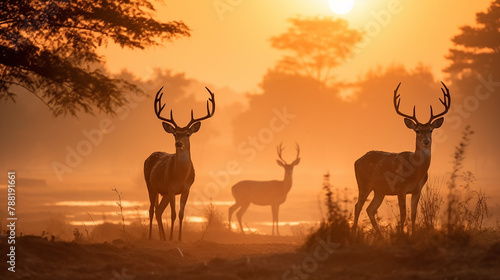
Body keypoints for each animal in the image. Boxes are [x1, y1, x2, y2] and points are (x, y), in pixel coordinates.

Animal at [144, 86, 216, 241]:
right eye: (175, 134)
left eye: (187, 134)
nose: (178, 143)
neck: (181, 175)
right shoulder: (171, 189)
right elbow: (173, 214)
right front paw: (172, 238)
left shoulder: (186, 189)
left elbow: (181, 214)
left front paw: (179, 238)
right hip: (150, 186)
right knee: (151, 210)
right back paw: (151, 237)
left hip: (163, 192)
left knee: (158, 211)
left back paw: (163, 238)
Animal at [352, 81, 454, 236]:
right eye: (417, 130)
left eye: (431, 130)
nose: (426, 141)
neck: (416, 172)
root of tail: (357, 161)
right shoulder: (400, 188)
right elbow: (403, 214)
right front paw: (401, 235)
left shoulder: (417, 190)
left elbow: (413, 215)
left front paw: (412, 236)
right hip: (364, 184)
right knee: (358, 206)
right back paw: (353, 233)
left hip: (380, 190)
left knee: (370, 209)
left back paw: (381, 236)